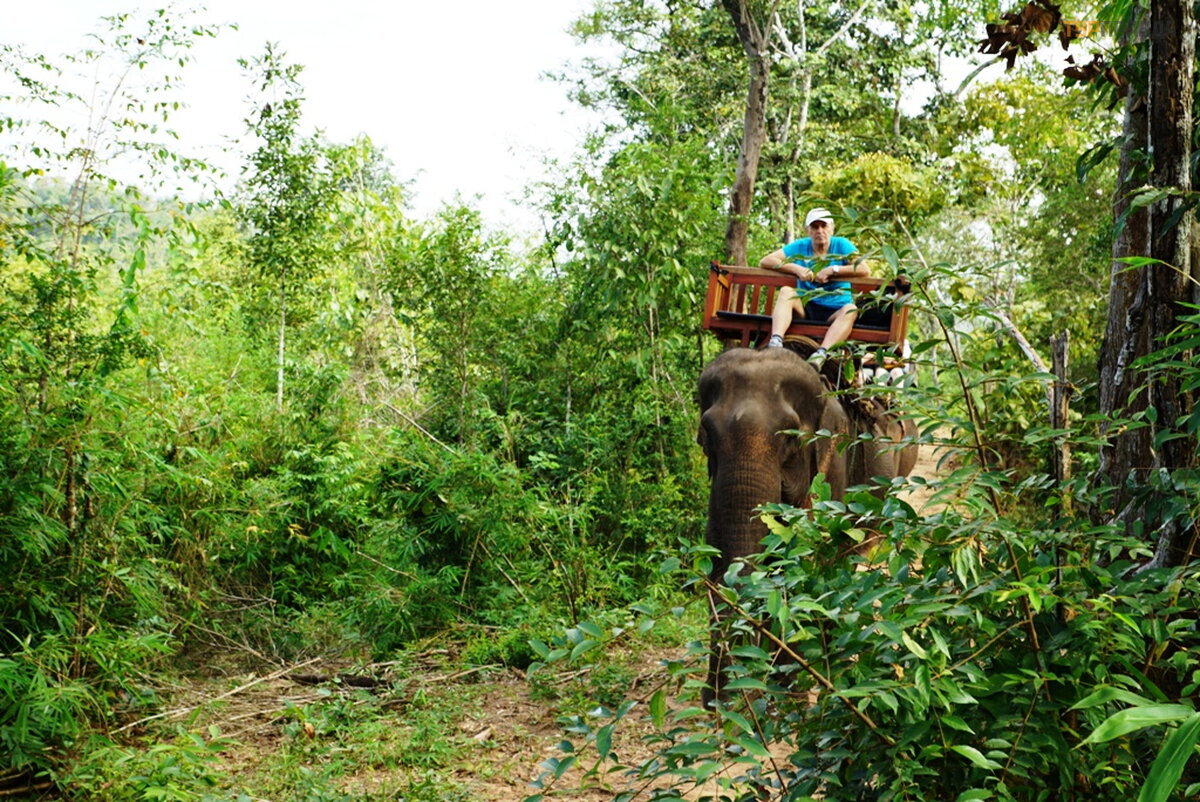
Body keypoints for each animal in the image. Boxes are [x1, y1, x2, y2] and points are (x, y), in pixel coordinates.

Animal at [696, 346, 918, 701]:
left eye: (789, 437)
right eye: (706, 435)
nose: (717, 700)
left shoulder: (833, 462)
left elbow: (805, 564)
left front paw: (789, 692)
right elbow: (718, 556)